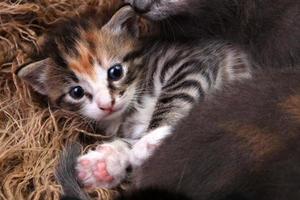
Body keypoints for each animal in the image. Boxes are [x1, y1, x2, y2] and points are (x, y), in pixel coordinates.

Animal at [18, 5, 251, 189]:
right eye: (77, 92)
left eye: (115, 72)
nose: (106, 104)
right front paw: (106, 163)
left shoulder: (190, 62)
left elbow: (174, 98)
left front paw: (153, 140)